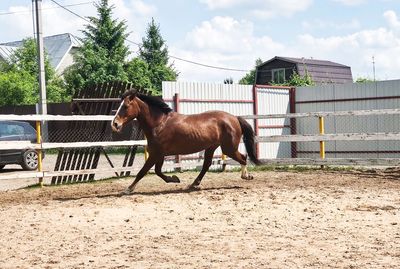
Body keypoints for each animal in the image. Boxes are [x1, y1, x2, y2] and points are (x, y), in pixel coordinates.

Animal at [111, 89, 260, 193]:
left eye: (125, 106)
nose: (115, 124)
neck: (159, 123)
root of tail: (234, 118)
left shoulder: (155, 154)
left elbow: (143, 171)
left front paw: (128, 189)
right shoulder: (159, 154)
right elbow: (158, 171)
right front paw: (174, 179)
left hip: (228, 148)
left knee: (243, 157)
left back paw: (246, 176)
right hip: (212, 147)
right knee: (206, 165)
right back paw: (193, 184)